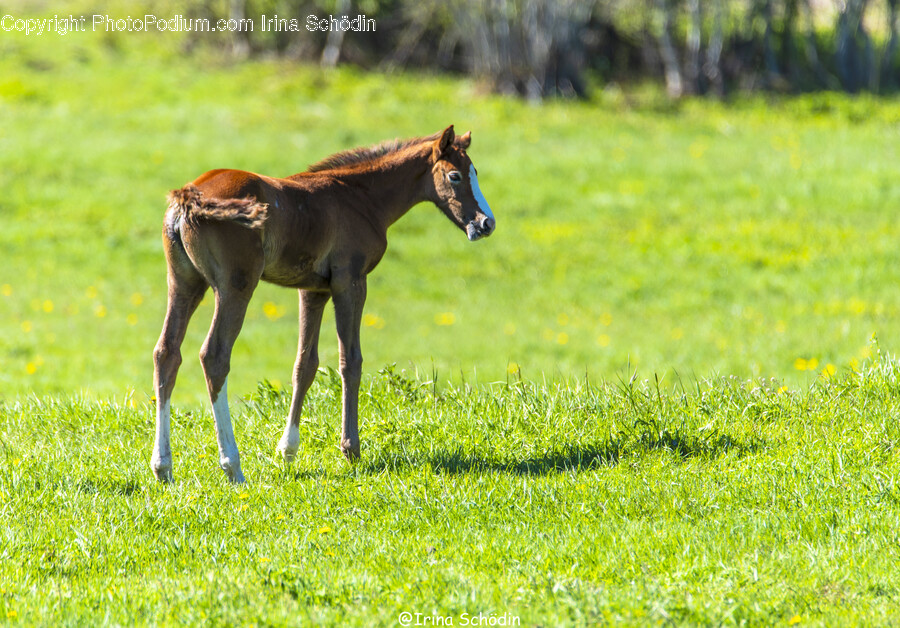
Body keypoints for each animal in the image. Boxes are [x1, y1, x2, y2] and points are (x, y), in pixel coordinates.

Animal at [151, 125, 495, 483]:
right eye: (455, 176)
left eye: (474, 172)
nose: (486, 223)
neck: (360, 197)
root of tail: (189, 196)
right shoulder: (350, 281)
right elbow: (350, 361)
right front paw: (351, 449)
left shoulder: (312, 290)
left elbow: (305, 364)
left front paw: (287, 450)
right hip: (235, 286)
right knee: (215, 357)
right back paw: (232, 465)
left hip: (185, 283)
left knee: (166, 353)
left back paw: (163, 467)